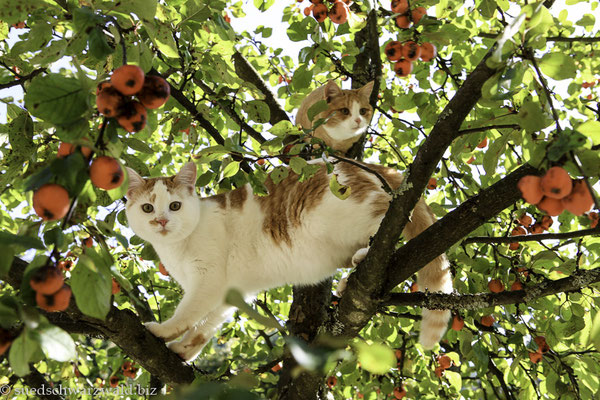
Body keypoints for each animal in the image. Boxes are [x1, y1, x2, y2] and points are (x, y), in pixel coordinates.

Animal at [127, 160, 454, 362]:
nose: (160, 221)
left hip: (350, 215)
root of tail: (365, 165)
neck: (176, 247)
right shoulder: (230, 293)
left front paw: (163, 330)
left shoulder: (208, 280)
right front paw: (184, 350)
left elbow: (188, 314)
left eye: (175, 206)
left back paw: (363, 260)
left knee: (386, 234)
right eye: (147, 208)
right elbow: (204, 329)